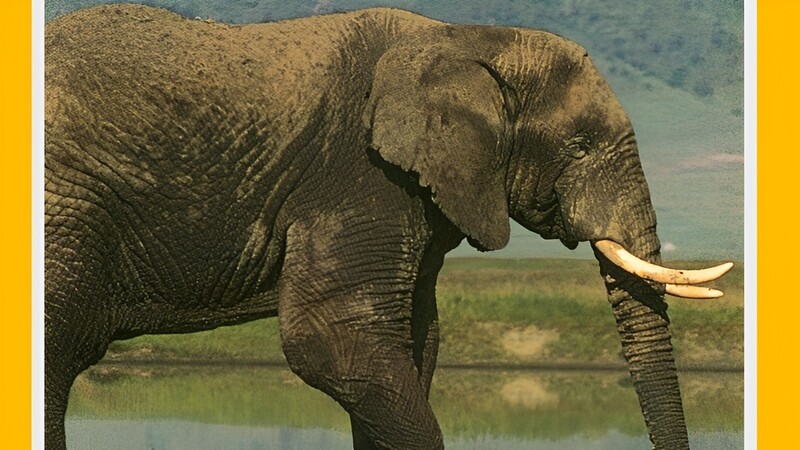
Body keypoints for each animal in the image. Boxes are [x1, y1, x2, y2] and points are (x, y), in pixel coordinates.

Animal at [44, 4, 732, 449]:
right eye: (581, 146)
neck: (468, 39)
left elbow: (414, 344)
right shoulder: (358, 174)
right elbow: (334, 341)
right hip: (68, 209)